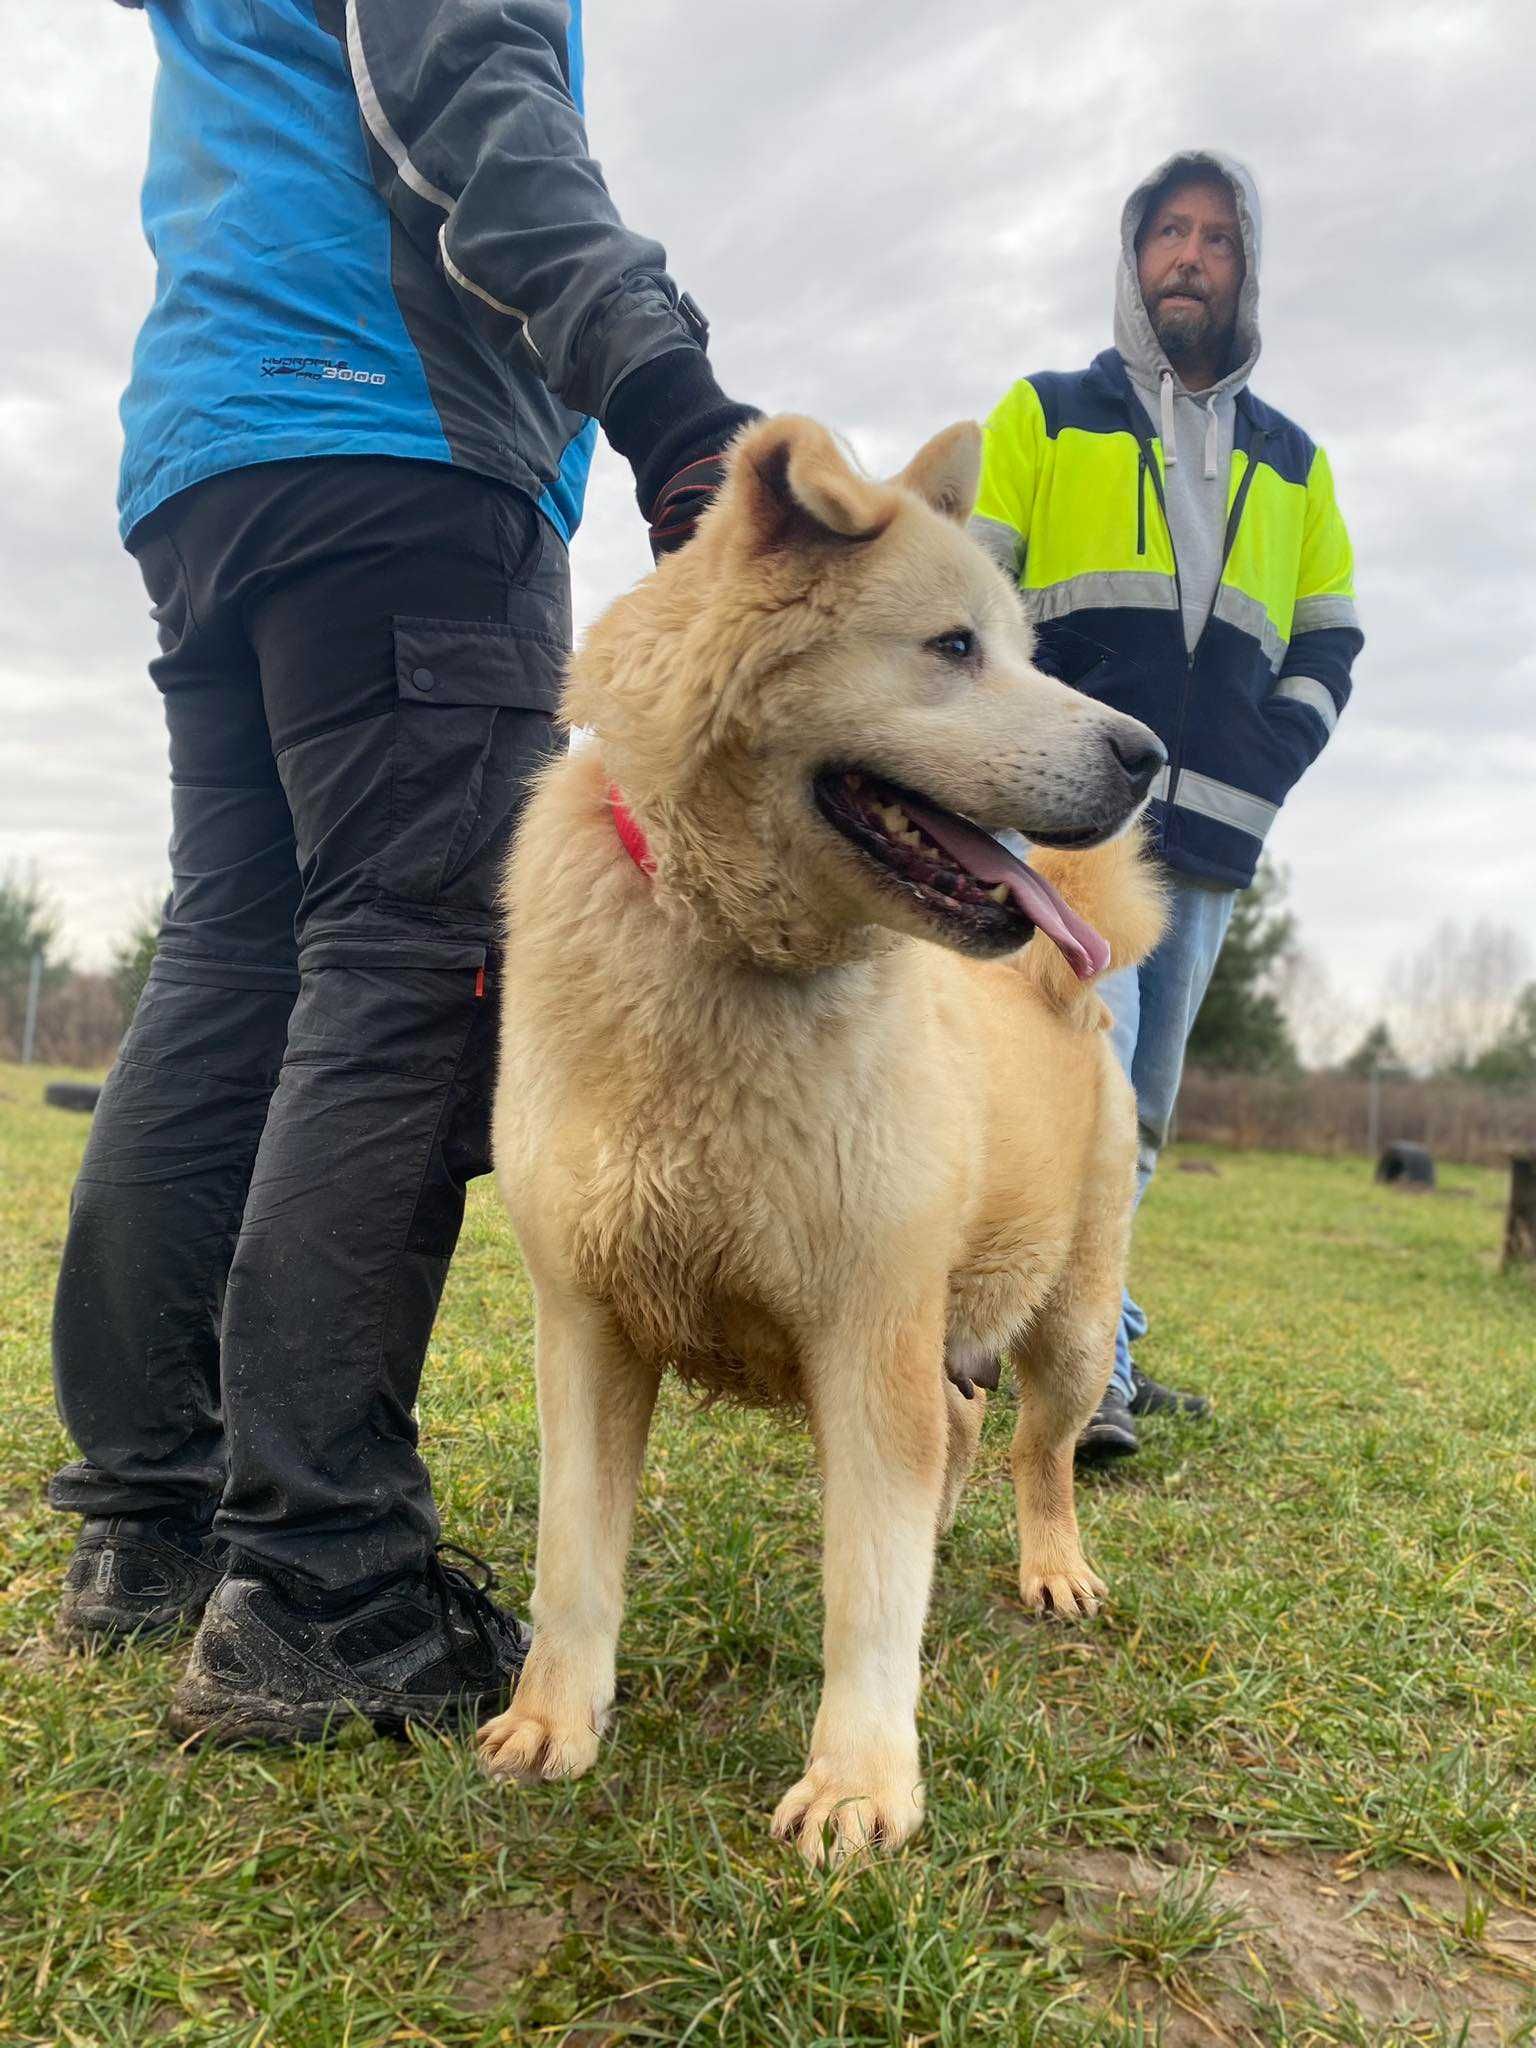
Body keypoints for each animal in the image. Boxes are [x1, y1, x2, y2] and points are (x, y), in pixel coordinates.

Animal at [481, 419, 1163, 1875]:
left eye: (1020, 644)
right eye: (955, 645)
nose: (1148, 751)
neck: (723, 964)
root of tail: (1066, 984)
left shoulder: (866, 1331)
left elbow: (872, 1591)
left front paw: (861, 1781)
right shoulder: (585, 1326)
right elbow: (574, 1557)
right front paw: (555, 1718)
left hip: (1070, 1323)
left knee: (1035, 1449)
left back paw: (1051, 1564)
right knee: (963, 1427)